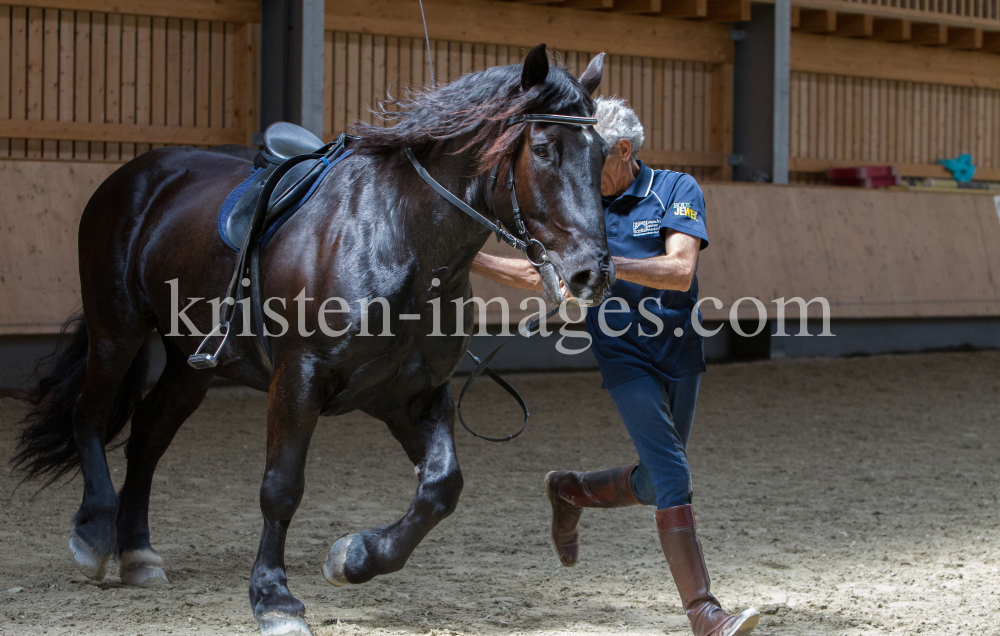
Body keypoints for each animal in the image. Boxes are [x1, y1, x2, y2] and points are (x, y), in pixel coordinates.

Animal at [7, 46, 612, 636]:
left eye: (603, 154)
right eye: (543, 149)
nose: (593, 273)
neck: (401, 239)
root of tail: (137, 173)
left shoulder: (409, 395)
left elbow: (442, 487)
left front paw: (354, 558)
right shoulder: (300, 377)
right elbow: (282, 486)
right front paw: (273, 598)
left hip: (192, 363)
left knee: (147, 438)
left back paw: (138, 553)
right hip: (117, 329)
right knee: (89, 414)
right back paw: (93, 534)